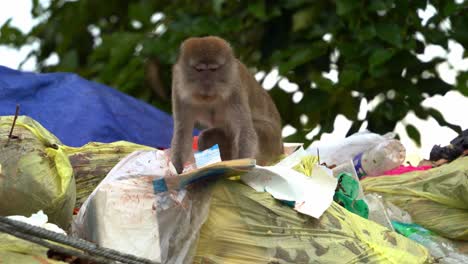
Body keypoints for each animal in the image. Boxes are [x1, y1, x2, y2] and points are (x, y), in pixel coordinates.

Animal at [171, 36, 284, 173]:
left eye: (213, 69)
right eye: (200, 70)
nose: (207, 83)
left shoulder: (235, 85)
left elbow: (245, 130)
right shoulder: (178, 84)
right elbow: (182, 134)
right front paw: (176, 170)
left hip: (272, 142)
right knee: (207, 138)